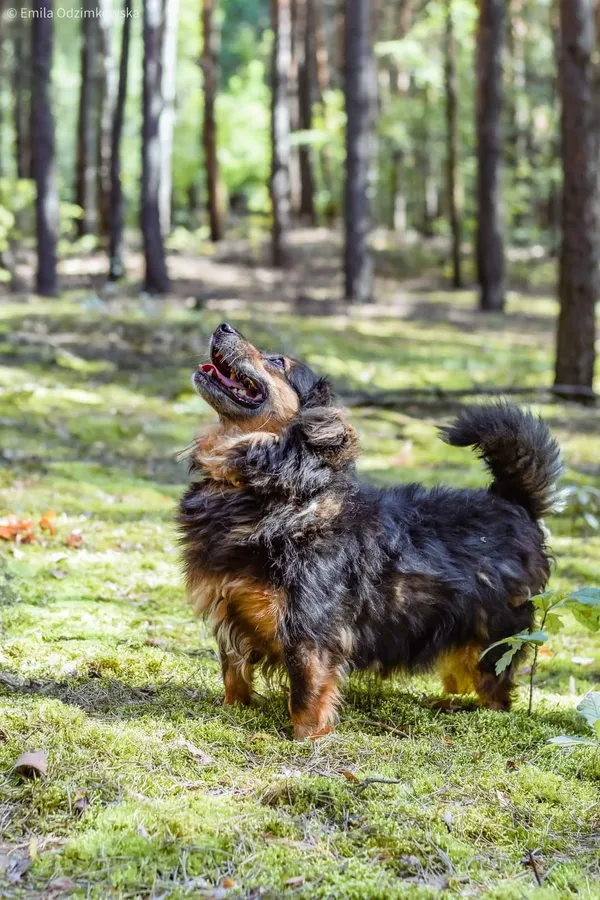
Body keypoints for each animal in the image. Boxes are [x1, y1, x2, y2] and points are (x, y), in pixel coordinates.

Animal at [178, 324, 564, 740]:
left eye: (278, 361)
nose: (223, 326)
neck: (277, 490)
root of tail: (514, 501)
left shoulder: (309, 631)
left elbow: (306, 696)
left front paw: (305, 740)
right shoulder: (229, 611)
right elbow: (234, 674)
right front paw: (232, 710)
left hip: (494, 639)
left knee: (495, 690)